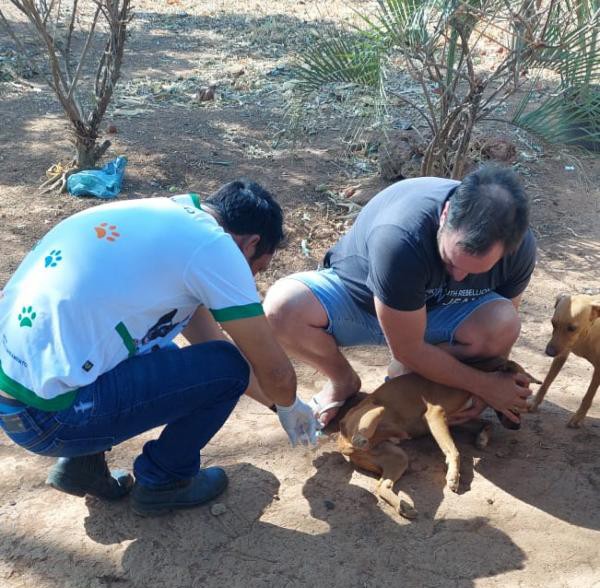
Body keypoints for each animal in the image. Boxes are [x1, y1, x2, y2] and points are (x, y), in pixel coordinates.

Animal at [332, 358, 540, 520]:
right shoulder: (436, 415)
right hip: (375, 408)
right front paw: (453, 477)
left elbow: (487, 423)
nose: (517, 427)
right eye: (516, 402)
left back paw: (403, 507)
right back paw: (363, 438)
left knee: (382, 486)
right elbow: (454, 451)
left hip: (398, 457)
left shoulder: (456, 419)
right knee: (366, 427)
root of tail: (343, 441)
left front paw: (482, 438)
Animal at [528, 294, 600, 428]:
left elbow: (588, 396)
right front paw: (534, 403)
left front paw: (578, 417)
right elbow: (546, 383)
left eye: (572, 328)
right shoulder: (561, 355)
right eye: (553, 323)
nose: (549, 352)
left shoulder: (599, 369)